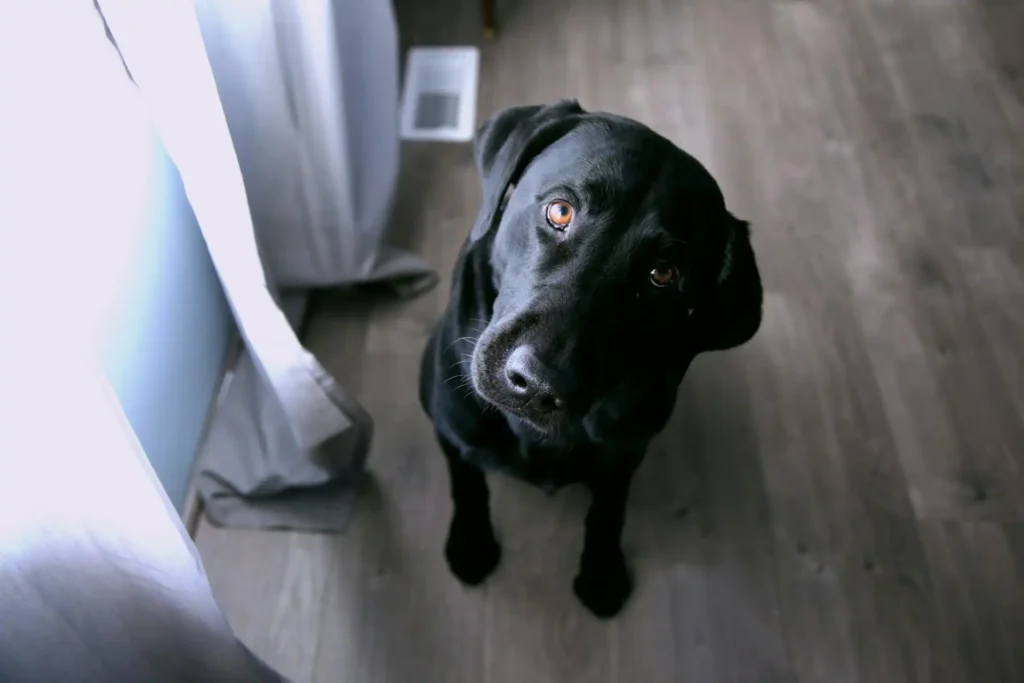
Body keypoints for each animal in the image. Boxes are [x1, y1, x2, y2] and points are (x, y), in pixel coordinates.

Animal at [419, 101, 765, 618]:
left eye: (663, 275)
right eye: (560, 211)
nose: (537, 384)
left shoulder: (626, 453)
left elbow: (608, 510)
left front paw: (602, 574)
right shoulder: (449, 424)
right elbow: (466, 479)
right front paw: (472, 543)